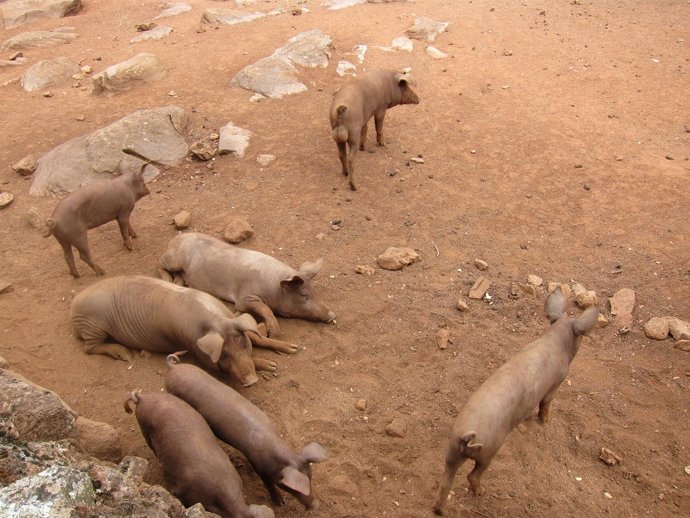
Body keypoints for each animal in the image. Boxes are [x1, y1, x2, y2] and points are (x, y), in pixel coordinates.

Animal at [71, 275, 300, 387]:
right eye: (223, 354)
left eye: (243, 343)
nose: (251, 381)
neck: (216, 321)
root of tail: (75, 301)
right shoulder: (196, 350)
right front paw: (271, 365)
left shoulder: (232, 319)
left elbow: (257, 337)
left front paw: (292, 349)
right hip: (93, 327)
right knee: (89, 349)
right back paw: (125, 355)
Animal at [160, 232, 336, 338]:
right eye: (304, 295)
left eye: (315, 292)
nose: (332, 315)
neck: (274, 288)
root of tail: (175, 238)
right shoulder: (245, 296)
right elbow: (264, 308)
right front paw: (274, 333)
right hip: (173, 260)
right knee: (160, 263)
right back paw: (168, 280)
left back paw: (178, 283)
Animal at [165, 353, 328, 509]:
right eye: (291, 488)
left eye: (311, 478)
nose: (315, 505)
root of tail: (173, 368)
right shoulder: (257, 464)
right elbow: (268, 483)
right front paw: (280, 503)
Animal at [432, 287, 599, 515]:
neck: (557, 341)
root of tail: (465, 437)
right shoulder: (556, 382)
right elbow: (546, 403)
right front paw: (545, 422)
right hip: (489, 449)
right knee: (472, 475)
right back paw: (481, 493)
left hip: (451, 450)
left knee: (445, 482)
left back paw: (438, 510)